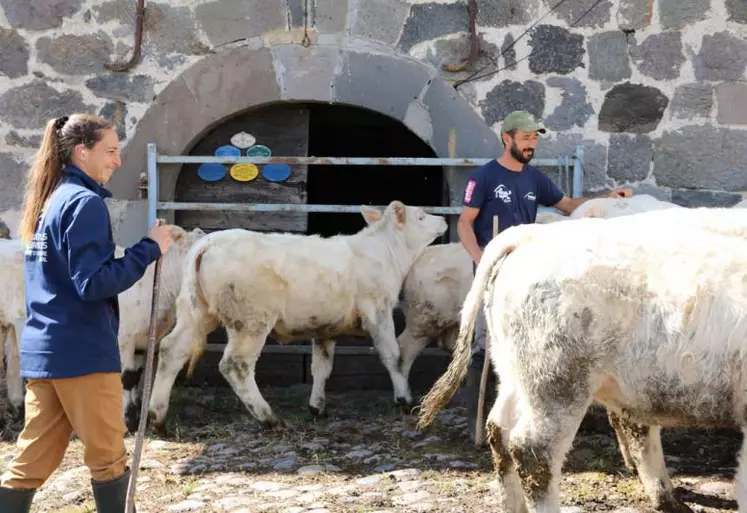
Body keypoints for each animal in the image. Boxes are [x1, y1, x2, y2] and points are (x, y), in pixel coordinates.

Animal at [0, 226, 205, 430]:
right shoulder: (124, 338)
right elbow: (126, 378)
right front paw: (127, 420)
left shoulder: (141, 339)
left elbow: (136, 376)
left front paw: (136, 414)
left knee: (12, 359)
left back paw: (17, 407)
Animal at [149, 201, 448, 432]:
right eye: (421, 216)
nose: (444, 219)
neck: (384, 253)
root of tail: (208, 244)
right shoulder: (379, 311)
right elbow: (392, 355)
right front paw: (405, 398)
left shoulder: (326, 326)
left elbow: (322, 366)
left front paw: (317, 407)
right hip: (250, 320)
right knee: (235, 365)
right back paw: (269, 418)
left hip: (196, 312)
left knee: (171, 350)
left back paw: (156, 417)